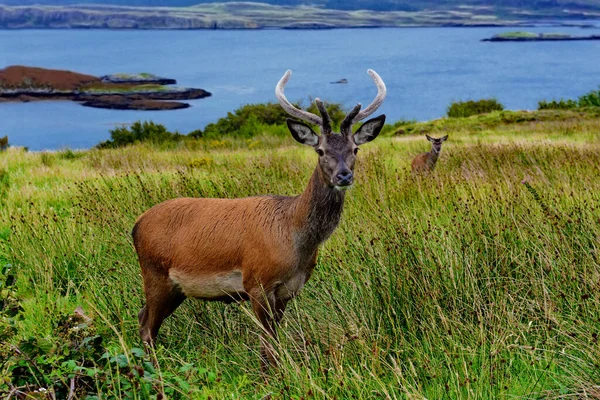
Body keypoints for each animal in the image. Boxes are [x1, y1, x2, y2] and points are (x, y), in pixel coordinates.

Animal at [133, 67, 386, 370]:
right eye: (320, 150)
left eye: (355, 149)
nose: (344, 175)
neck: (294, 236)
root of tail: (136, 225)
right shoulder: (257, 283)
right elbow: (267, 347)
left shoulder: (288, 291)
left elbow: (275, 343)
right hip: (155, 275)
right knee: (147, 327)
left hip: (175, 288)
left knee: (142, 318)